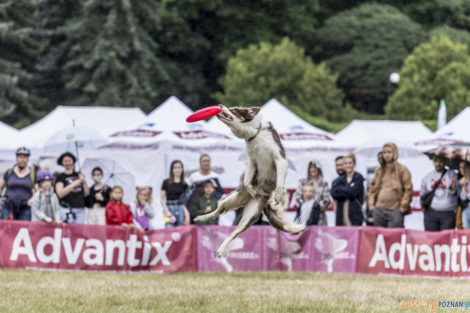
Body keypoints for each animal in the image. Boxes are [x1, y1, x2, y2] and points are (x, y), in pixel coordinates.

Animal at [194, 105, 304, 256]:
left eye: (234, 110)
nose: (220, 106)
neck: (255, 135)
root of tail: (263, 199)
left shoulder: (279, 158)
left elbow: (280, 181)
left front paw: (278, 195)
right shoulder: (253, 161)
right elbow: (247, 179)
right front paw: (251, 188)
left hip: (249, 216)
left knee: (233, 233)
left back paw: (221, 249)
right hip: (233, 198)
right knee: (219, 210)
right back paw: (202, 218)